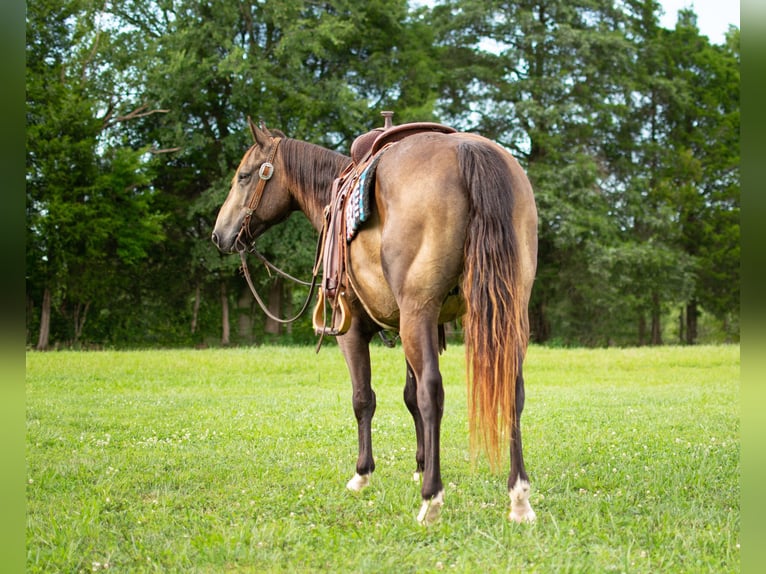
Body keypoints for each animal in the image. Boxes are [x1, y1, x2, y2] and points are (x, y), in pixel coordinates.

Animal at [212, 117, 540, 528]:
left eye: (243, 176)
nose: (219, 235)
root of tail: (469, 150)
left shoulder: (354, 330)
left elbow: (364, 398)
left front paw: (363, 473)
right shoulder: (409, 324)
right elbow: (409, 397)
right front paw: (419, 464)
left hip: (419, 311)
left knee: (433, 392)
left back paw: (431, 499)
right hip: (506, 312)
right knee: (511, 389)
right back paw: (519, 497)